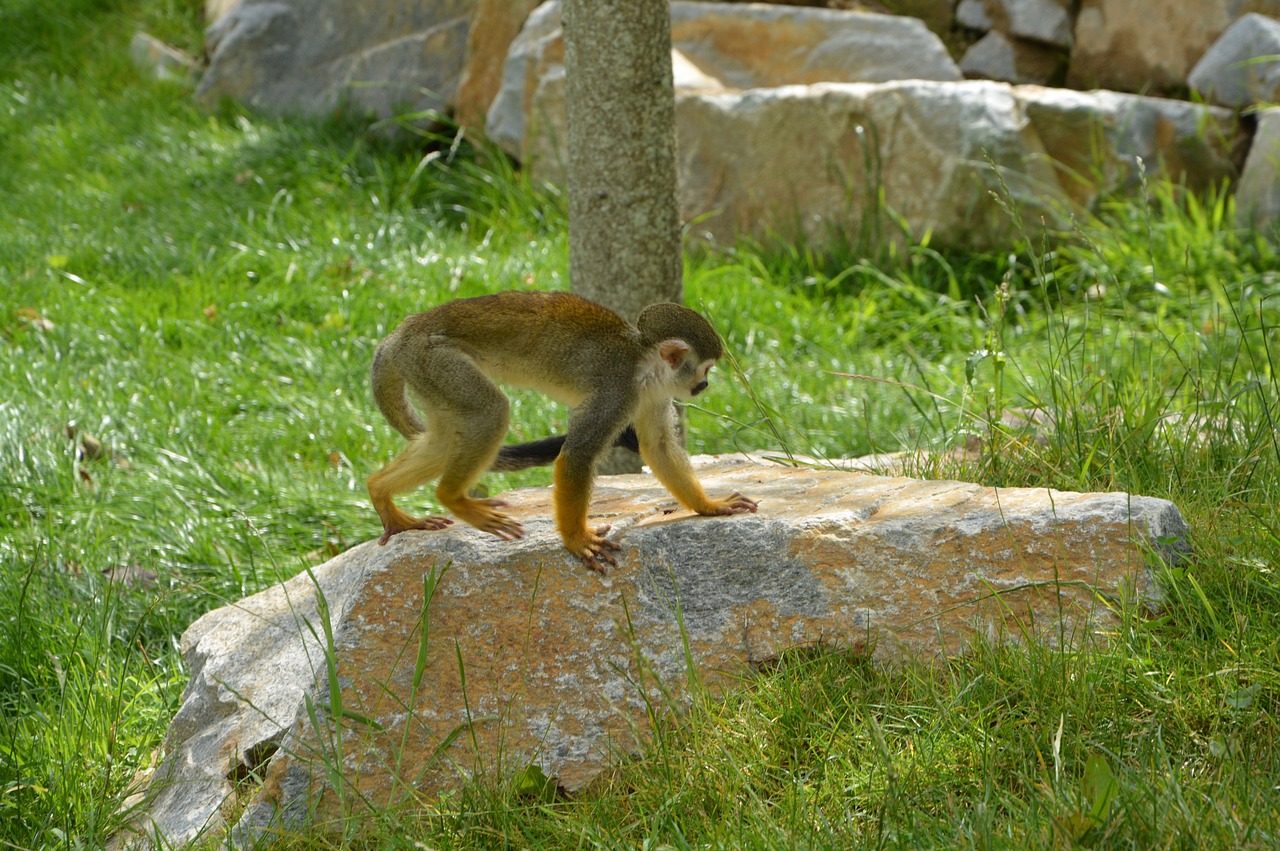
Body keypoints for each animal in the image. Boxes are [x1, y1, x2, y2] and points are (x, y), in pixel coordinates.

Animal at [366, 289, 752, 573]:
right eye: (706, 369)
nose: (704, 385)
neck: (644, 364)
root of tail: (400, 332)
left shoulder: (654, 395)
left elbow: (658, 446)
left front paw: (709, 506)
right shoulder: (618, 392)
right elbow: (577, 455)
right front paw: (577, 540)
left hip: (425, 371)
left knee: (449, 436)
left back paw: (380, 491)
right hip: (435, 359)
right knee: (490, 412)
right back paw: (452, 497)